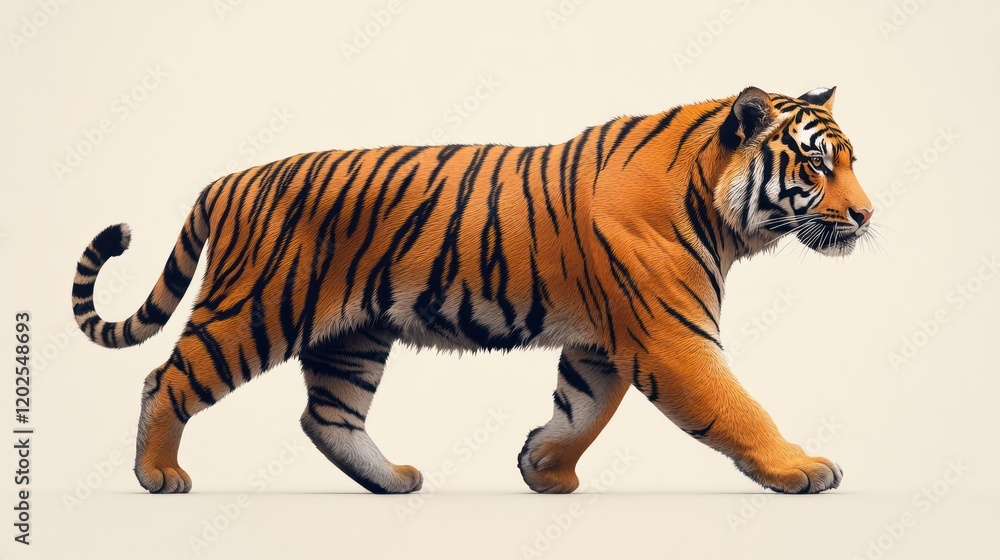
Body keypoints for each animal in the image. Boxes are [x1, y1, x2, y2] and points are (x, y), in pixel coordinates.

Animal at [71, 85, 872, 495]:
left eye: (852, 162)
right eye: (817, 165)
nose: (867, 215)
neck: (717, 207)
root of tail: (228, 178)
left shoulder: (604, 344)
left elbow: (584, 410)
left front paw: (543, 469)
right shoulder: (672, 339)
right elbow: (738, 408)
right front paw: (801, 468)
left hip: (352, 337)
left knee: (327, 417)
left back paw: (392, 481)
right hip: (255, 310)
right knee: (165, 379)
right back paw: (158, 474)